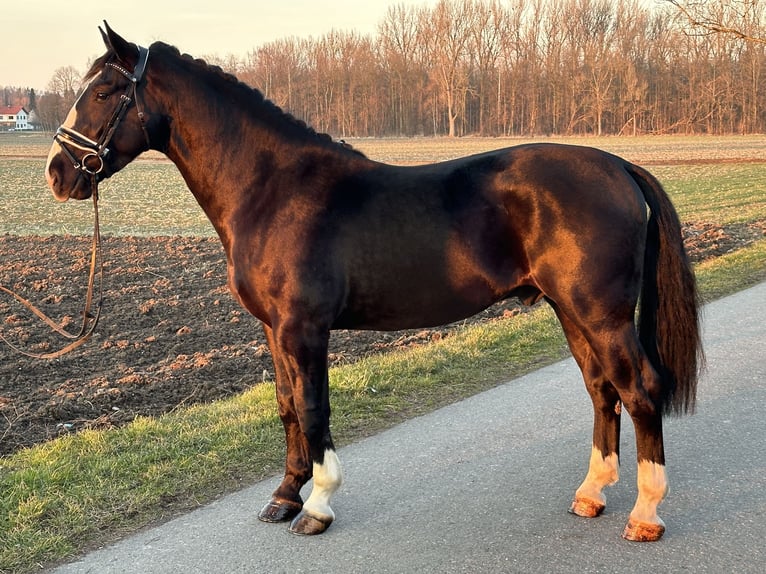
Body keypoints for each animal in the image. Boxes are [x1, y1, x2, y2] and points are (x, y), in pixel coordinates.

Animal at [43, 23, 704, 544]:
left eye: (103, 91)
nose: (56, 173)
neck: (271, 190)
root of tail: (618, 165)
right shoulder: (273, 330)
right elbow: (286, 406)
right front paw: (283, 497)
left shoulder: (303, 328)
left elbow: (313, 409)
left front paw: (317, 505)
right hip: (571, 312)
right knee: (601, 391)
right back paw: (591, 494)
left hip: (602, 315)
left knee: (640, 389)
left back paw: (645, 513)